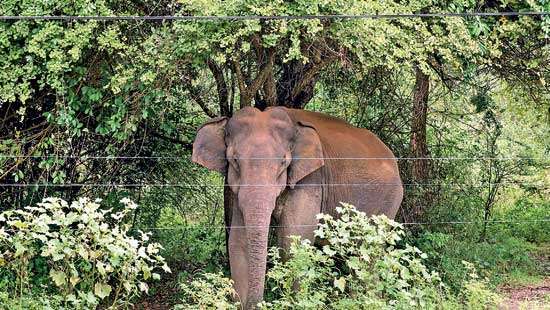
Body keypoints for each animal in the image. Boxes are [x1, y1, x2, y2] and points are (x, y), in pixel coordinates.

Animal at [192, 106, 404, 308]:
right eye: (234, 160)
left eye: (283, 163)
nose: (258, 304)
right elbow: (238, 242)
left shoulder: (311, 180)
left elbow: (294, 241)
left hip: (388, 202)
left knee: (368, 252)